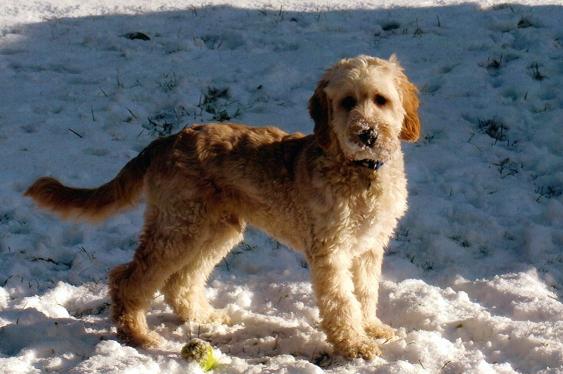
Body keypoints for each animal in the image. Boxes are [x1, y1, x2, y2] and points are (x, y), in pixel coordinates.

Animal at [27, 54, 424, 356]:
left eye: (381, 100)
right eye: (346, 103)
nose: (366, 134)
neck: (360, 171)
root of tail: (167, 140)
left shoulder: (369, 247)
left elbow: (366, 293)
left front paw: (371, 327)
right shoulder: (331, 250)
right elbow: (342, 301)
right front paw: (353, 344)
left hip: (214, 229)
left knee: (180, 282)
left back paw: (204, 318)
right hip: (178, 227)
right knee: (128, 278)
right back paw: (137, 335)